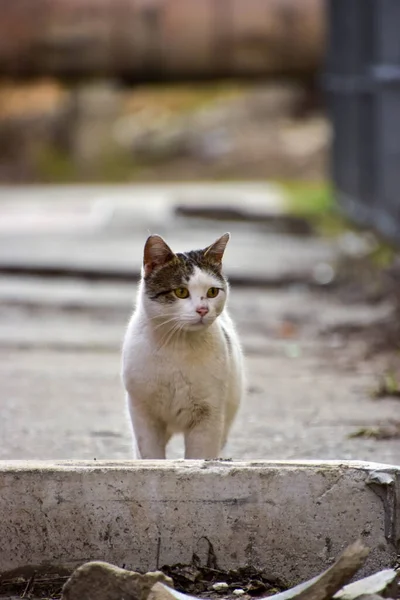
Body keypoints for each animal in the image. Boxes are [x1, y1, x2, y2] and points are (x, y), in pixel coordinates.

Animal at [121, 231, 244, 460]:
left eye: (212, 292)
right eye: (180, 292)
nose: (203, 309)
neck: (176, 345)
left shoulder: (209, 416)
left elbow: (199, 455)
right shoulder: (143, 413)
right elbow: (151, 455)